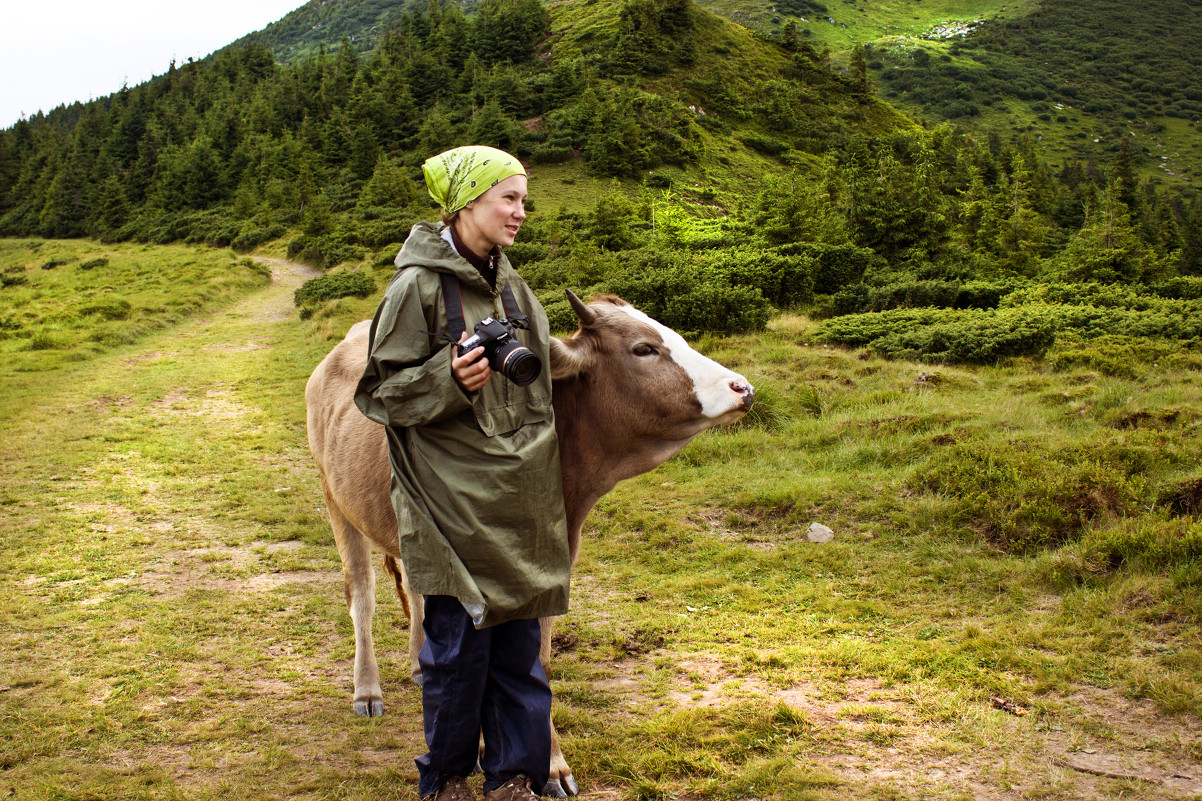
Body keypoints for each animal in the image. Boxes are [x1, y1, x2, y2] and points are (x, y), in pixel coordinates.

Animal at [302, 292, 750, 793]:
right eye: (643, 349)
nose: (742, 388)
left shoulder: (553, 564)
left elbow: (538, 663)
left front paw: (548, 764)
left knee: (418, 589)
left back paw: (419, 665)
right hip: (335, 499)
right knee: (361, 596)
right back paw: (367, 689)